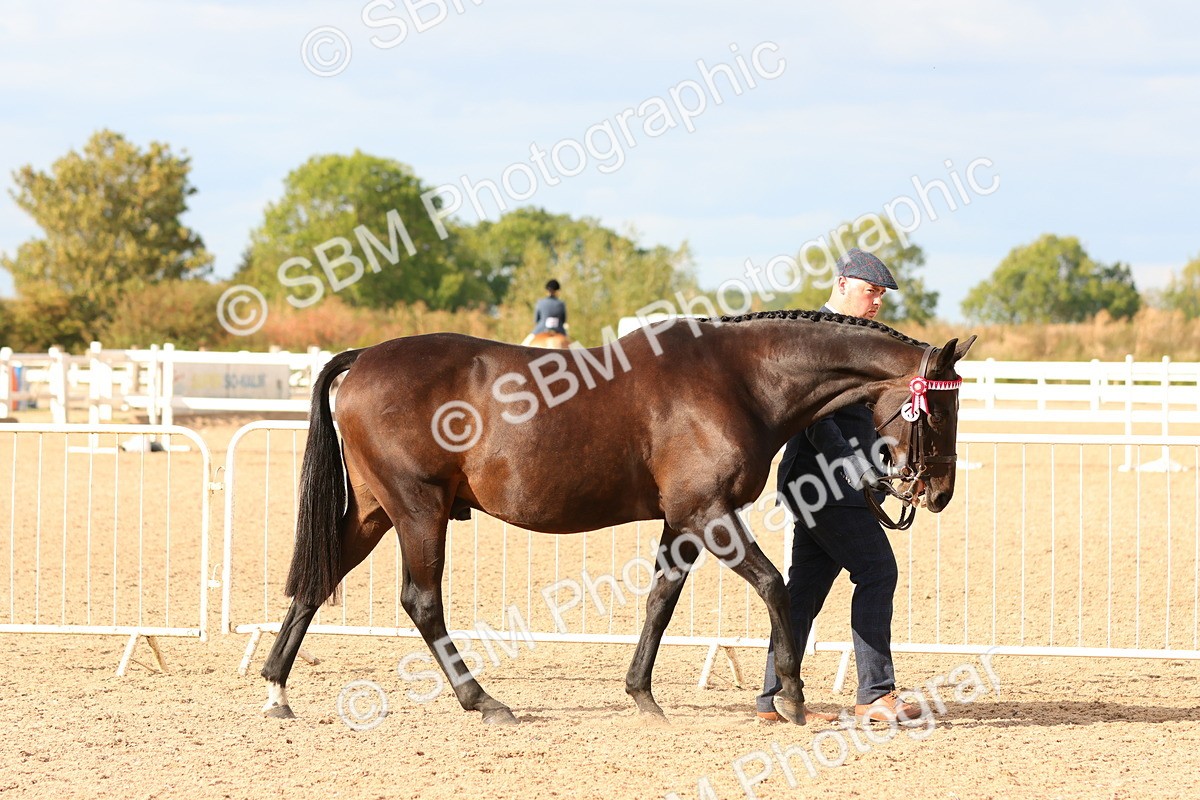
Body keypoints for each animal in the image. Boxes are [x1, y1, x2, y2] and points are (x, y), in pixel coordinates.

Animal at [260, 310, 976, 725]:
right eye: (940, 409)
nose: (938, 492)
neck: (738, 377)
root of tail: (363, 357)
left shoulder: (682, 521)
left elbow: (661, 599)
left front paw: (642, 695)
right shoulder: (709, 513)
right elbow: (774, 587)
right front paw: (792, 698)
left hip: (374, 512)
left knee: (317, 582)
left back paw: (276, 691)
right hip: (418, 509)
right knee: (421, 601)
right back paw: (484, 703)